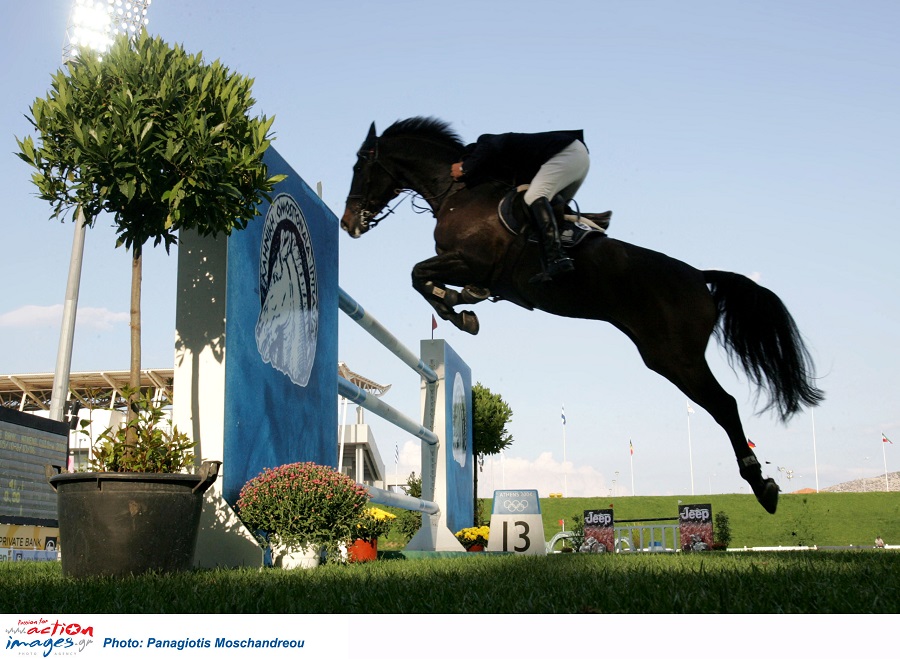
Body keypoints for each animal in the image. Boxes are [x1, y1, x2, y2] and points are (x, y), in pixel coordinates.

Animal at [338, 116, 824, 512]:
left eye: (360, 167)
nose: (347, 223)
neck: (458, 190)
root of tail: (698, 277)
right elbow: (433, 282)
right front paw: (463, 306)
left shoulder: (468, 260)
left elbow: (418, 274)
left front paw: (457, 314)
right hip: (664, 356)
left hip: (677, 356)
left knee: (724, 405)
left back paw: (762, 486)